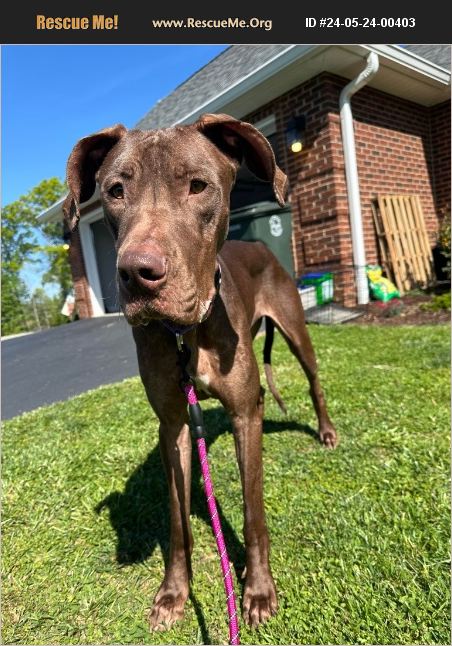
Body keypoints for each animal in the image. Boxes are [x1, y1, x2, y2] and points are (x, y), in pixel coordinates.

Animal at [64, 113, 337, 631]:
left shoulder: (245, 416)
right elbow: (176, 521)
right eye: (114, 191)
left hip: (297, 331)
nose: (137, 272)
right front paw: (174, 593)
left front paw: (258, 589)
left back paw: (327, 430)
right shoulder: (172, 425)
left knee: (313, 381)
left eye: (198, 186)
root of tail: (261, 246)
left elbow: (252, 513)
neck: (186, 333)